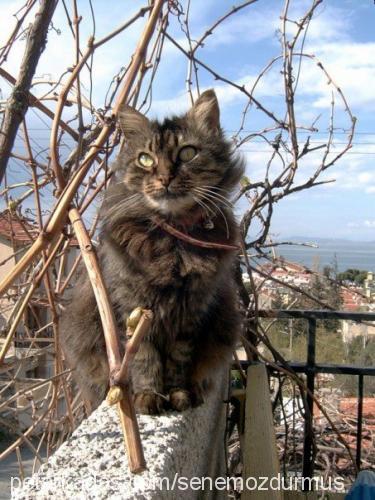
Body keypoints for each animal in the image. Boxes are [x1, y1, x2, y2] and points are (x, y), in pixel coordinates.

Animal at [60, 89, 245, 414]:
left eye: (187, 153)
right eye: (145, 160)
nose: (165, 178)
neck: (174, 243)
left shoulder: (191, 313)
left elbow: (179, 360)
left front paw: (177, 394)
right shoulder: (132, 306)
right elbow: (144, 360)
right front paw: (148, 396)